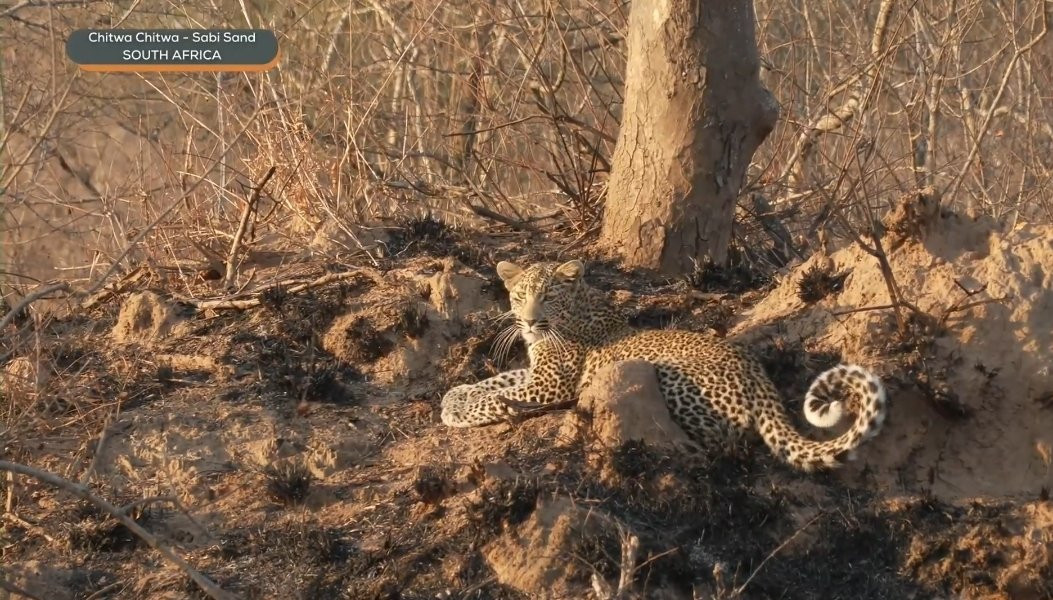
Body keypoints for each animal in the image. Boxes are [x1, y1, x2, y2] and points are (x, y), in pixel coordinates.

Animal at [440, 259, 888, 471]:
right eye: (519, 296)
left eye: (548, 296)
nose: (530, 321)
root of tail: (760, 378)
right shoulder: (536, 372)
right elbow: (499, 381)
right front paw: (455, 394)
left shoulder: (551, 384)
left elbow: (500, 397)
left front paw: (457, 411)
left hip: (670, 377)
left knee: (721, 439)